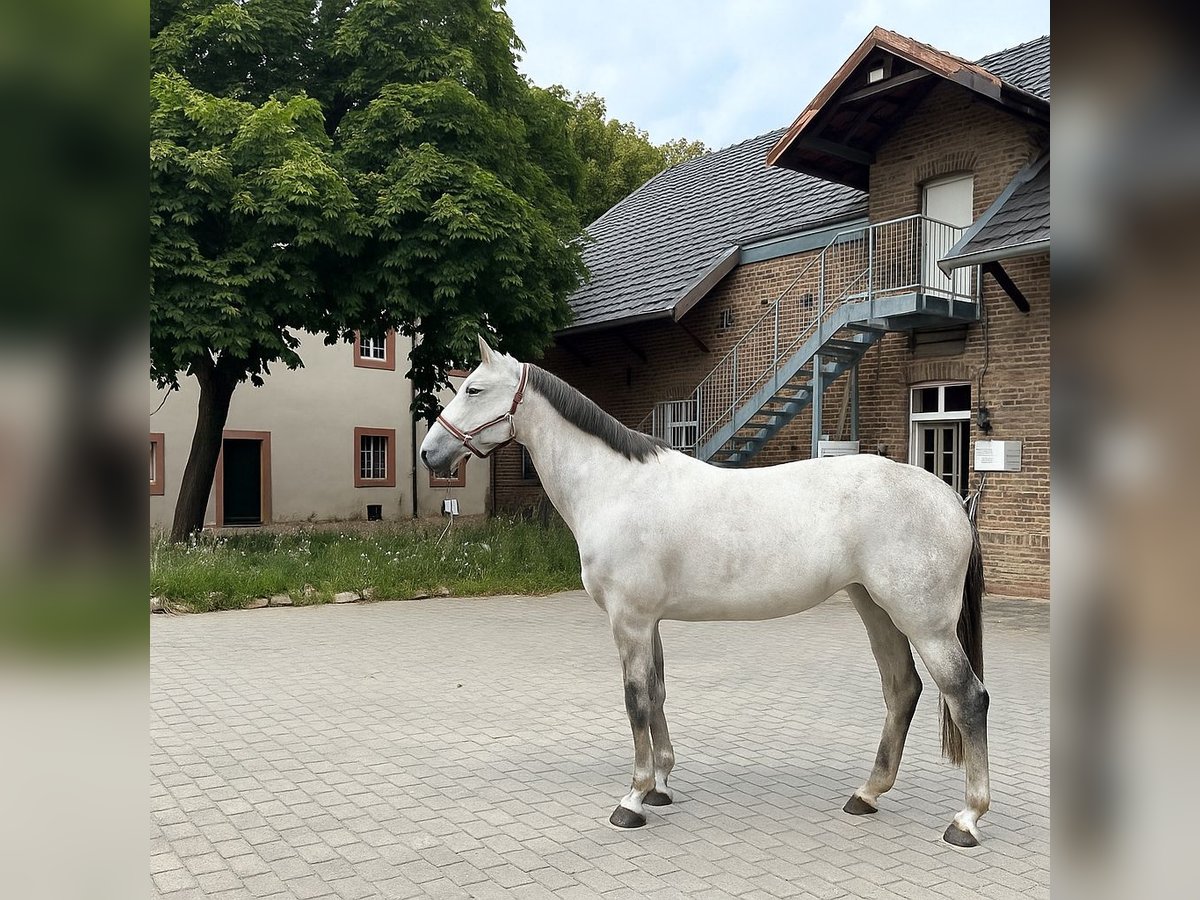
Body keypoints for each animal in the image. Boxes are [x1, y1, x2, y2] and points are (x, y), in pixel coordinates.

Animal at [420, 336, 990, 847]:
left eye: (473, 388)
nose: (429, 453)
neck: (615, 487)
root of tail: (951, 498)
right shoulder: (648, 621)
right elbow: (656, 692)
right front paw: (660, 786)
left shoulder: (628, 619)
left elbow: (635, 699)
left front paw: (633, 799)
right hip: (875, 609)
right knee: (902, 690)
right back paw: (867, 794)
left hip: (925, 623)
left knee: (967, 697)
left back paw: (966, 819)